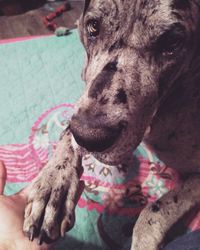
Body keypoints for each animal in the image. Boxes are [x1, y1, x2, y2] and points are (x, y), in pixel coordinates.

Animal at [22, 0, 200, 249]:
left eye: (172, 43)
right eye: (94, 27)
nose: (89, 136)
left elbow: (156, 208)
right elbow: (68, 130)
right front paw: (53, 186)